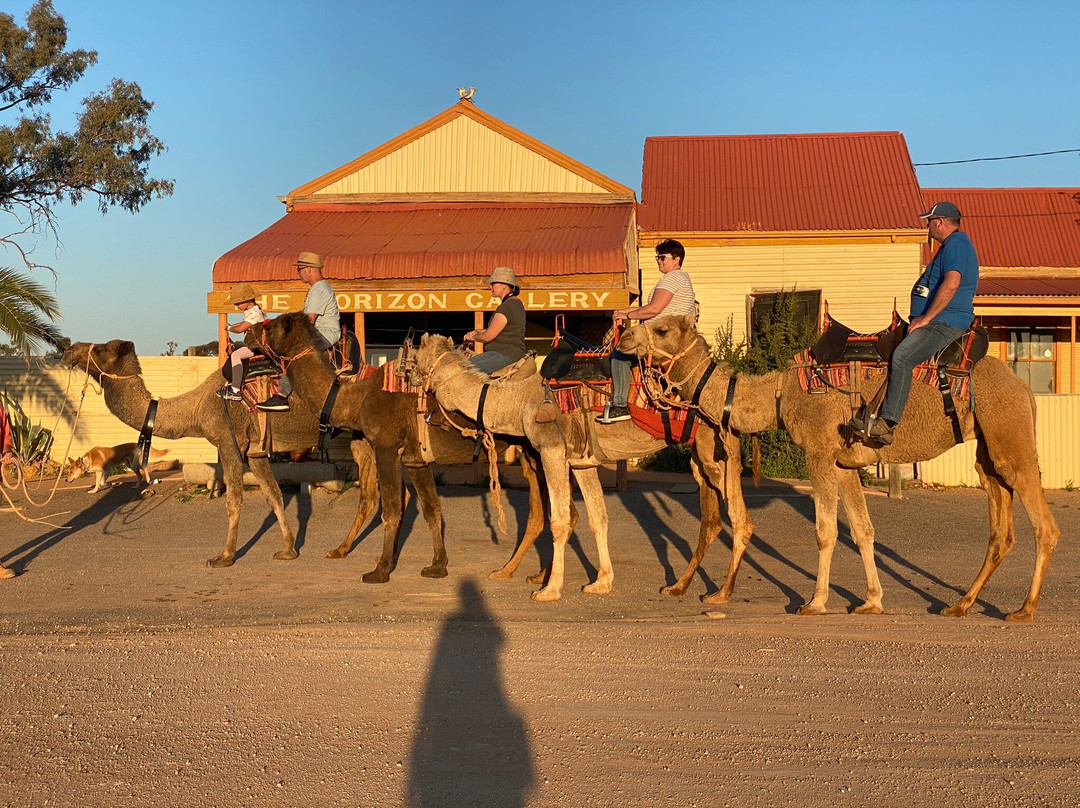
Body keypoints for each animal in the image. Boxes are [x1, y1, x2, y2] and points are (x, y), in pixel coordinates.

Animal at [260, 311, 570, 587]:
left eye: (271, 325)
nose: (252, 333)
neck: (358, 398)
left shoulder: (385, 448)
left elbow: (392, 509)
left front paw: (380, 571)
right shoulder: (415, 461)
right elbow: (432, 509)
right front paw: (437, 566)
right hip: (532, 454)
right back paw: (531, 575)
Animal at [406, 330, 751, 604]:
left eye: (416, 355)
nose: (407, 376)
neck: (518, 400)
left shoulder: (551, 450)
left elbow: (558, 520)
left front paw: (549, 590)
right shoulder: (583, 462)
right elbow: (598, 517)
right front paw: (601, 582)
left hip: (717, 448)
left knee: (740, 519)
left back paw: (721, 594)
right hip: (702, 455)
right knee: (711, 520)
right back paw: (679, 587)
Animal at [622, 313, 1058, 622]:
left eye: (661, 329)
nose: (625, 336)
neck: (779, 395)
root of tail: (1023, 388)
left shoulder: (818, 452)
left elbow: (825, 530)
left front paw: (814, 602)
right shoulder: (844, 462)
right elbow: (863, 532)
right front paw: (872, 601)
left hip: (1009, 435)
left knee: (1045, 526)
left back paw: (1024, 609)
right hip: (989, 449)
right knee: (1000, 527)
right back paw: (960, 605)